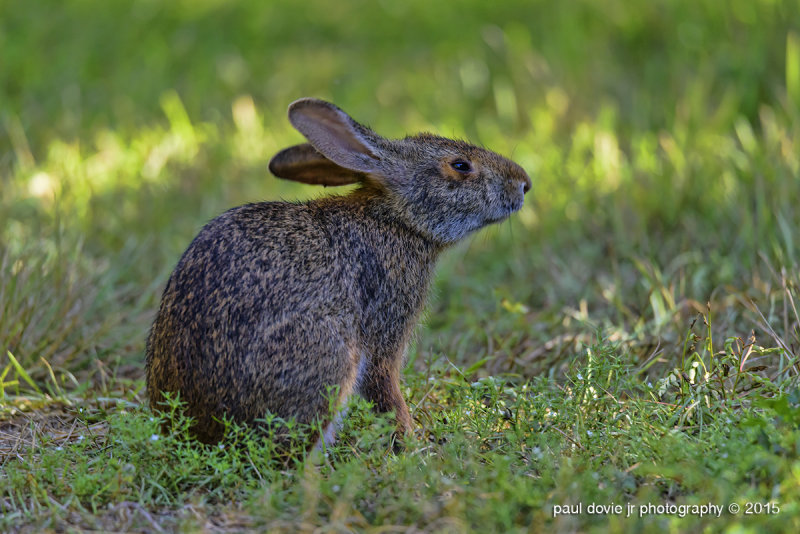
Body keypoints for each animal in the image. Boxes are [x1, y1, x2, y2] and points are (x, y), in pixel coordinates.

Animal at [145, 97, 532, 448]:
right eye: (461, 165)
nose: (524, 183)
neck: (396, 220)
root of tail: (198, 433)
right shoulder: (385, 326)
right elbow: (384, 387)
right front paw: (410, 441)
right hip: (327, 356)